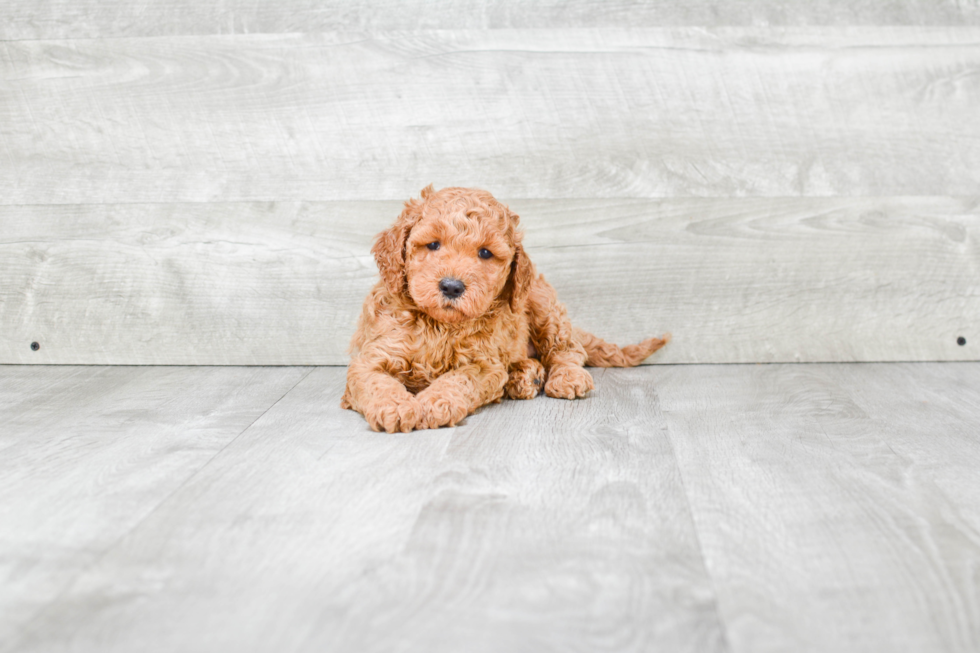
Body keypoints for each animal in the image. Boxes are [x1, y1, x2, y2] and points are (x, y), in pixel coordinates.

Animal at [340, 183, 668, 430]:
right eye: (433, 245)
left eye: (485, 253)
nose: (451, 286)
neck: (440, 326)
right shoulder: (372, 355)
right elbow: (375, 381)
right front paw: (394, 408)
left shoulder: (484, 364)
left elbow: (459, 379)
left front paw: (435, 403)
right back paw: (525, 375)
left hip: (543, 304)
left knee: (567, 350)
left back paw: (562, 377)